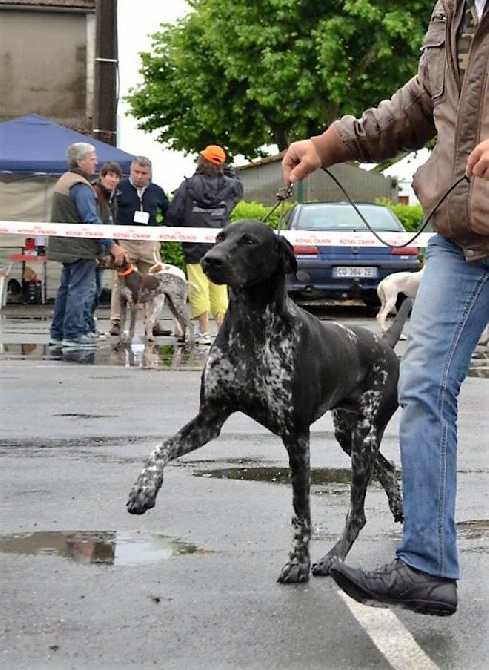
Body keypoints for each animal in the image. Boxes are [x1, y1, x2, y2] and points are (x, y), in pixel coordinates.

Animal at [127, 223, 408, 584]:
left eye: (249, 241)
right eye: (220, 237)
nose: (210, 259)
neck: (251, 326)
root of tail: (383, 342)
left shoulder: (296, 437)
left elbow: (301, 511)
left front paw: (298, 563)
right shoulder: (209, 419)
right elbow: (158, 450)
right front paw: (144, 490)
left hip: (364, 437)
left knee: (357, 513)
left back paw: (332, 558)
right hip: (350, 435)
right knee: (386, 468)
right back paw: (397, 505)